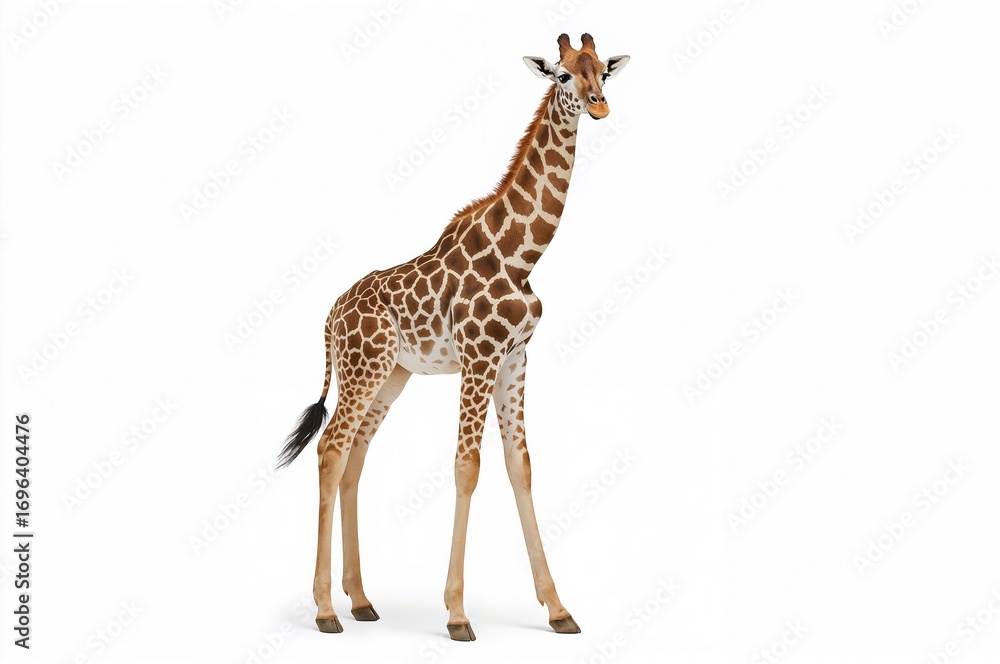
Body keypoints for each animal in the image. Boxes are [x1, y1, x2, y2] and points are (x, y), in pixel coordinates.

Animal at [277, 33, 629, 641]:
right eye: (562, 74)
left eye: (603, 71)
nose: (599, 105)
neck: (520, 255)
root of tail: (330, 316)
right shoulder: (478, 356)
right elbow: (468, 468)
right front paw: (458, 614)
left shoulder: (515, 359)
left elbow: (521, 466)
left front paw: (558, 609)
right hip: (363, 368)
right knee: (331, 448)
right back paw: (324, 610)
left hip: (391, 375)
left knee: (356, 456)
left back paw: (361, 600)